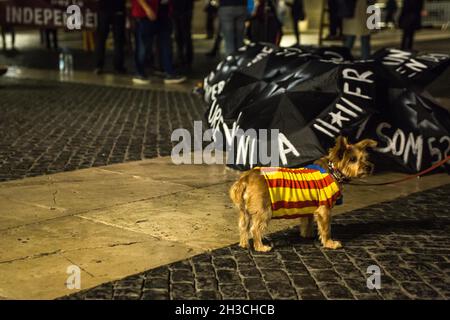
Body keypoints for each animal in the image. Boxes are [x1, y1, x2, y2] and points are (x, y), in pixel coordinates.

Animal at [229, 136, 376, 251]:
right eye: (353, 159)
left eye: (365, 158)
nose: (369, 167)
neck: (333, 171)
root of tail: (246, 178)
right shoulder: (324, 209)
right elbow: (326, 229)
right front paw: (329, 243)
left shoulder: (309, 207)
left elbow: (307, 222)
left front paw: (307, 235)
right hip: (264, 211)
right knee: (255, 229)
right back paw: (261, 247)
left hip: (245, 211)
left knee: (243, 226)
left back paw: (244, 244)